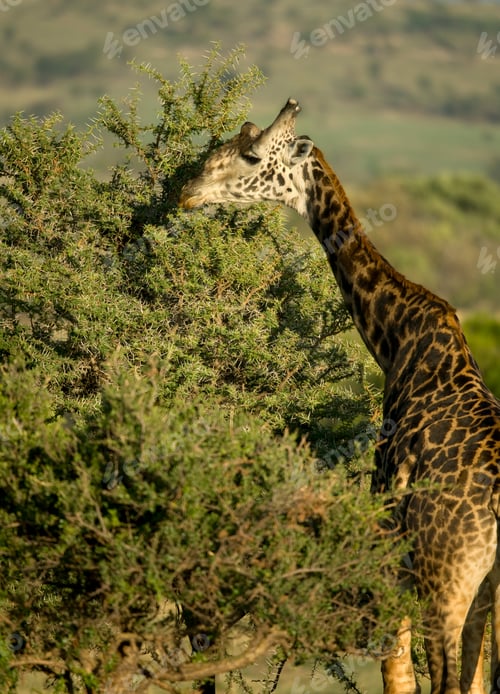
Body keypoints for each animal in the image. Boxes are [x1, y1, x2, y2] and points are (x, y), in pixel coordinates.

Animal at [180, 99, 500, 694]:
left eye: (251, 155)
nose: (188, 190)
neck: (394, 337)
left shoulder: (390, 537)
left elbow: (397, 671)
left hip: (448, 575)